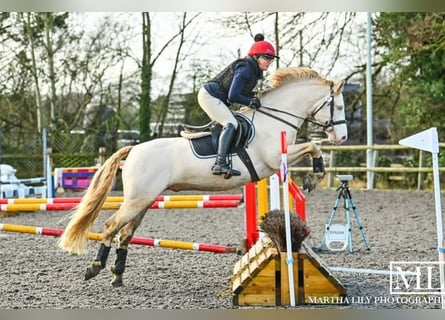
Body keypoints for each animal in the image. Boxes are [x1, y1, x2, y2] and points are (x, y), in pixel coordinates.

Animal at [57, 66, 346, 286]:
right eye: (341, 106)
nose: (342, 138)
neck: (274, 119)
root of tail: (134, 149)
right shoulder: (275, 159)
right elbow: (313, 146)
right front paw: (313, 177)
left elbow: (312, 147)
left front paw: (313, 176)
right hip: (137, 200)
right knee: (110, 226)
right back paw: (95, 267)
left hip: (144, 201)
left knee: (125, 233)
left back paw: (117, 275)